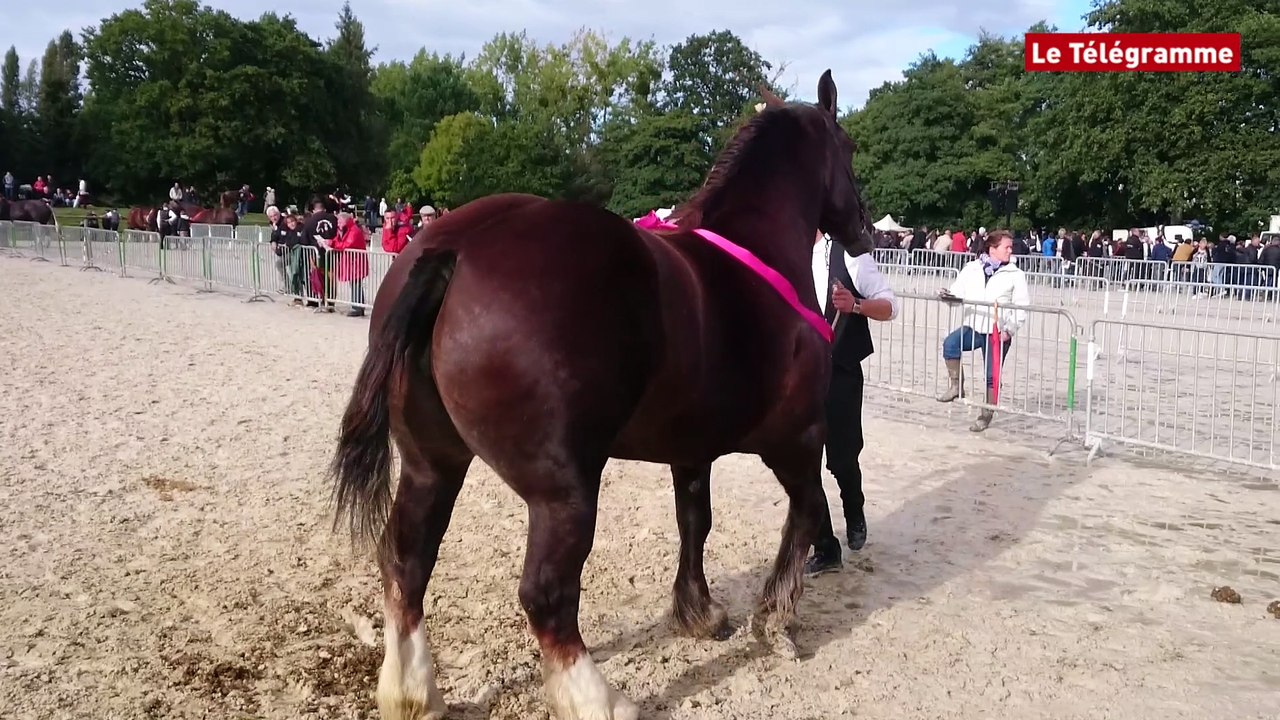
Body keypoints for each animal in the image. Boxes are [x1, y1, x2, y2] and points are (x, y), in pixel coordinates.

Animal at [330, 69, 874, 720]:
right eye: (849, 149)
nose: (866, 231)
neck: (755, 254)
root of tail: (454, 249)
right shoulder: (795, 437)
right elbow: (809, 511)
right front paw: (775, 621)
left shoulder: (691, 448)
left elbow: (695, 521)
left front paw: (699, 613)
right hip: (563, 491)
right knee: (546, 593)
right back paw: (598, 699)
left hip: (431, 462)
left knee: (407, 561)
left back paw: (412, 692)